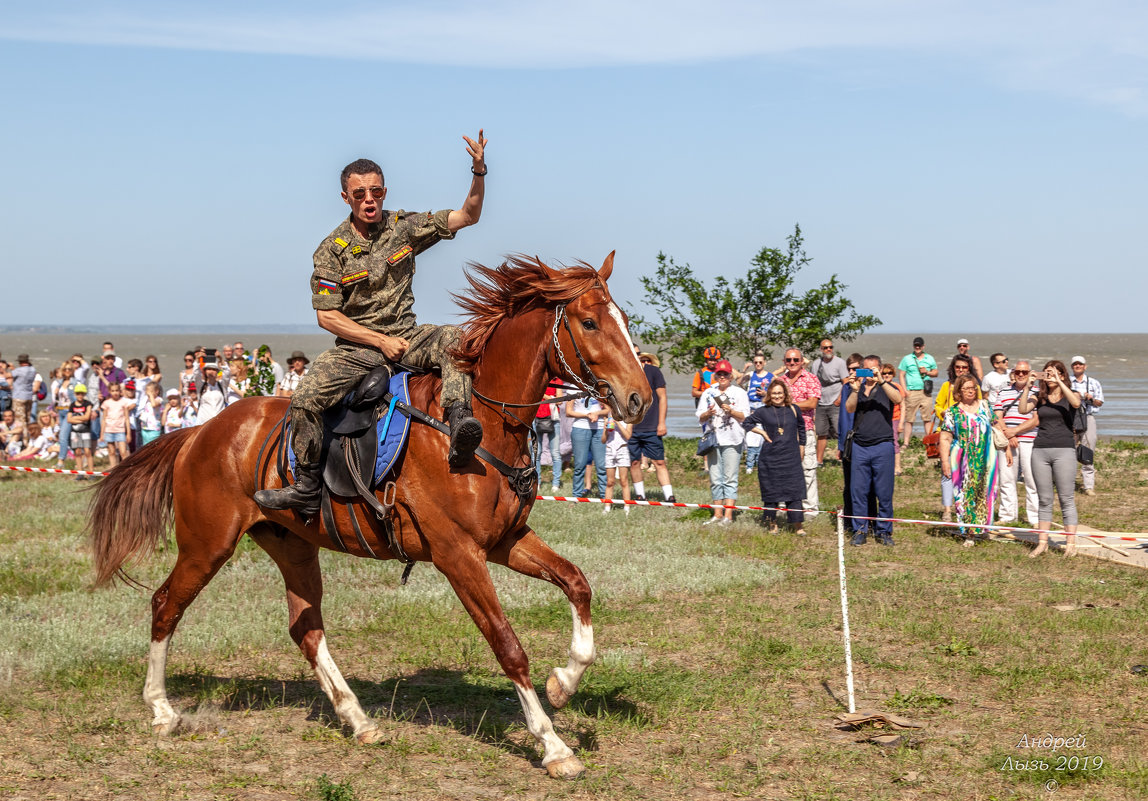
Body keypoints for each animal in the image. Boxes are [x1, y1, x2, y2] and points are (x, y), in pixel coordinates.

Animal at [84, 252, 652, 775]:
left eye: (621, 318)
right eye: (589, 322)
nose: (639, 398)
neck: (476, 428)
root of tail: (199, 431)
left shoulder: (504, 541)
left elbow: (577, 583)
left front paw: (564, 683)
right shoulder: (458, 555)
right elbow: (507, 645)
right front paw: (553, 745)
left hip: (292, 547)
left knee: (305, 629)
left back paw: (357, 719)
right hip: (207, 545)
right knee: (165, 605)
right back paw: (162, 710)